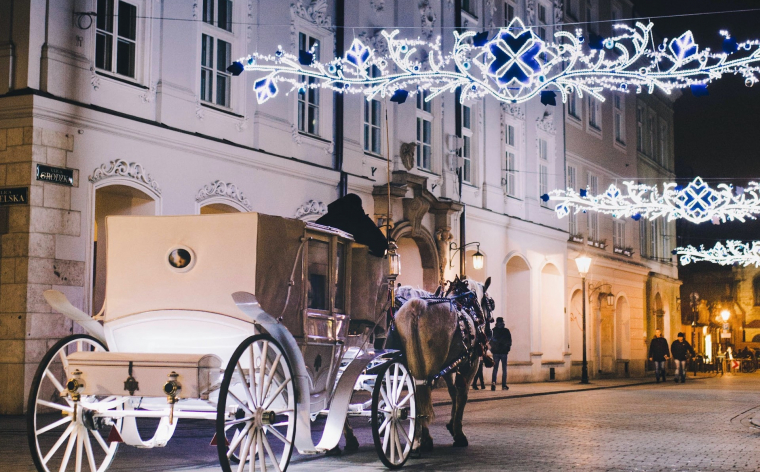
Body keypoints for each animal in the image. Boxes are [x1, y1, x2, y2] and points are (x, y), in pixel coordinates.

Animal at [392, 276, 492, 450]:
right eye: (490, 303)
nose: (489, 331)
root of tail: (415, 308)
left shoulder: (449, 367)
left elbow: (453, 392)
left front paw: (451, 425)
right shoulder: (469, 365)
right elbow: (462, 394)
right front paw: (458, 433)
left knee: (418, 393)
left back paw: (418, 438)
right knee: (422, 393)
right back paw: (422, 439)